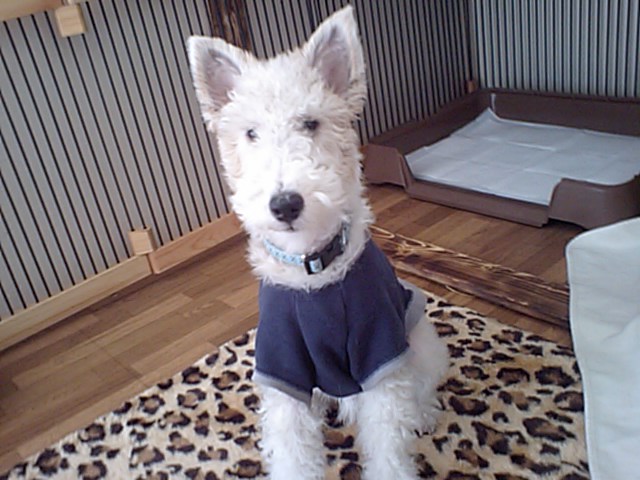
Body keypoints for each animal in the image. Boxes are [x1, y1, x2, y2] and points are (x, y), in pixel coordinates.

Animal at [187, 6, 449, 479]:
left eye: (310, 123)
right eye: (250, 133)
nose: (285, 203)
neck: (312, 268)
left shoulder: (379, 354)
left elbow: (388, 442)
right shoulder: (282, 366)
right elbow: (293, 448)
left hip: (418, 339)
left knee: (420, 389)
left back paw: (422, 416)